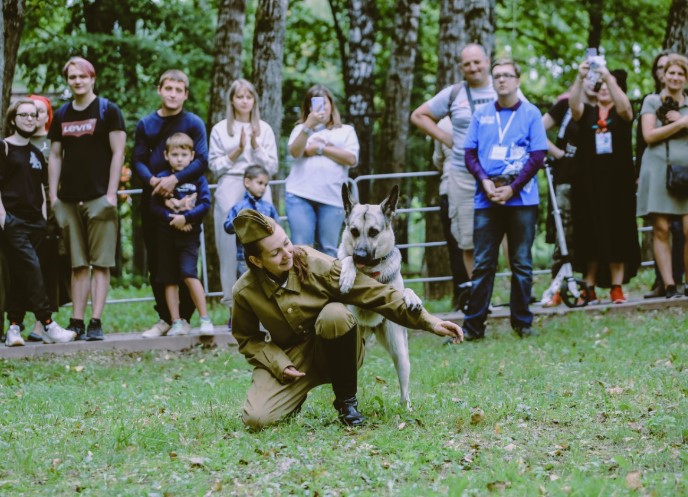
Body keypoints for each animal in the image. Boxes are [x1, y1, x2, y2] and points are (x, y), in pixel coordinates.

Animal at [338, 182, 422, 406]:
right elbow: (347, 259)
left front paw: (412, 296)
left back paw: (406, 407)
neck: (370, 271)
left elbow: (403, 289)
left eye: (374, 232)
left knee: (404, 390)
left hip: (400, 352)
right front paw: (348, 273)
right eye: (354, 231)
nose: (359, 256)